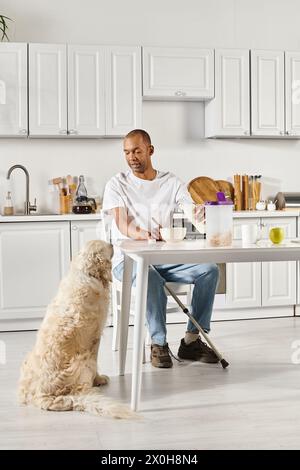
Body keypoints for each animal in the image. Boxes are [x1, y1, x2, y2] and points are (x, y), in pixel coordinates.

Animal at [18, 239, 135, 418]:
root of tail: (39, 395)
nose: (112, 243)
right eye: (106, 247)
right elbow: (96, 360)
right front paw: (99, 379)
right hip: (82, 361)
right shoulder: (95, 337)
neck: (87, 273)